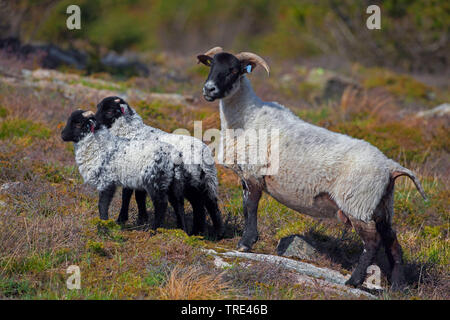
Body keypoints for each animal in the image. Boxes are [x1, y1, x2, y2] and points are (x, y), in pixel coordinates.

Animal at [95, 96, 223, 236]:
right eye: (99, 107)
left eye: (109, 111)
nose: (95, 124)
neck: (130, 131)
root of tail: (203, 153)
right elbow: (138, 196)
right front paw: (142, 219)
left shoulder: (130, 170)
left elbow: (127, 196)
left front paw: (122, 219)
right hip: (205, 181)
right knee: (207, 204)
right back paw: (208, 233)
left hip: (191, 181)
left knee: (202, 204)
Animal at [198, 47, 428, 290]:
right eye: (211, 65)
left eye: (233, 70)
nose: (208, 89)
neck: (247, 117)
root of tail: (391, 167)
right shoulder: (245, 176)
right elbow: (245, 208)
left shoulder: (254, 174)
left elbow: (251, 208)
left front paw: (246, 243)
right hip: (381, 206)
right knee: (393, 242)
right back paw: (398, 286)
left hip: (358, 203)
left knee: (372, 243)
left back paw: (353, 281)